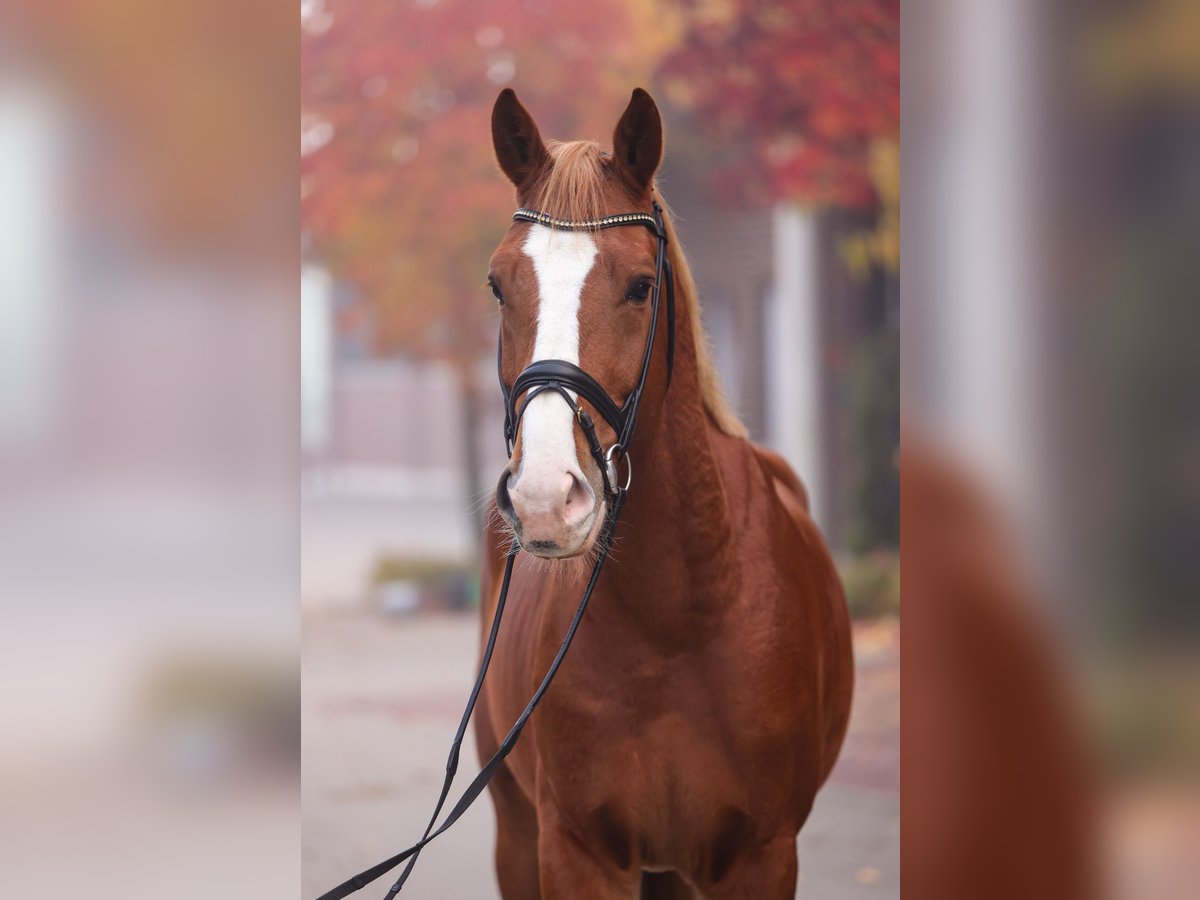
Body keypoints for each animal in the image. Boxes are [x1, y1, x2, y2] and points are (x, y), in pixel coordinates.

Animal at [477, 90, 854, 900]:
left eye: (639, 286)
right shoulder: (576, 852)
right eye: (498, 285)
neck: (676, 618)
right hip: (517, 835)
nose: (545, 498)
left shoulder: (761, 856)